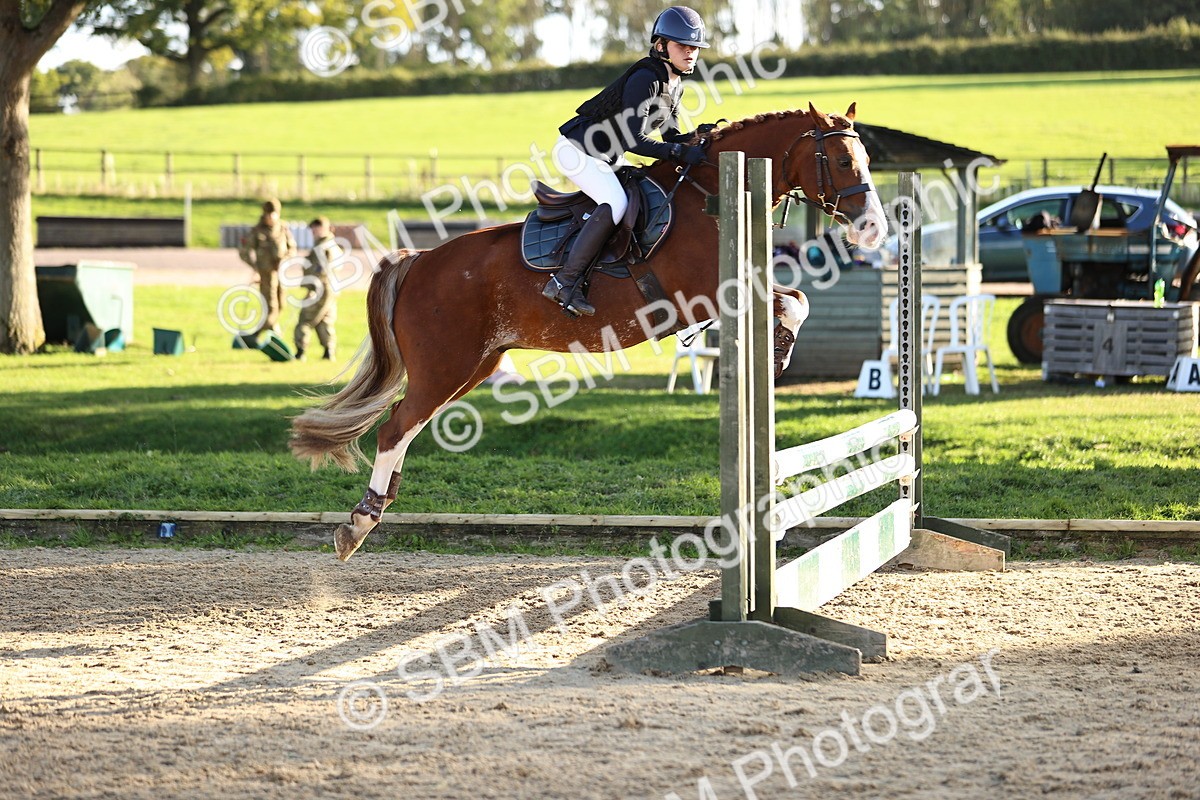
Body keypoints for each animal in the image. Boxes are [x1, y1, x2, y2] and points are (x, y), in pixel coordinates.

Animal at [290, 102, 887, 561]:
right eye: (841, 160)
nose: (874, 229)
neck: (710, 194)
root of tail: (416, 260)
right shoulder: (709, 293)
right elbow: (792, 301)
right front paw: (781, 350)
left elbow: (798, 300)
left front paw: (779, 349)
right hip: (445, 367)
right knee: (394, 429)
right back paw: (358, 524)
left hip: (472, 367)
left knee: (405, 427)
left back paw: (377, 507)